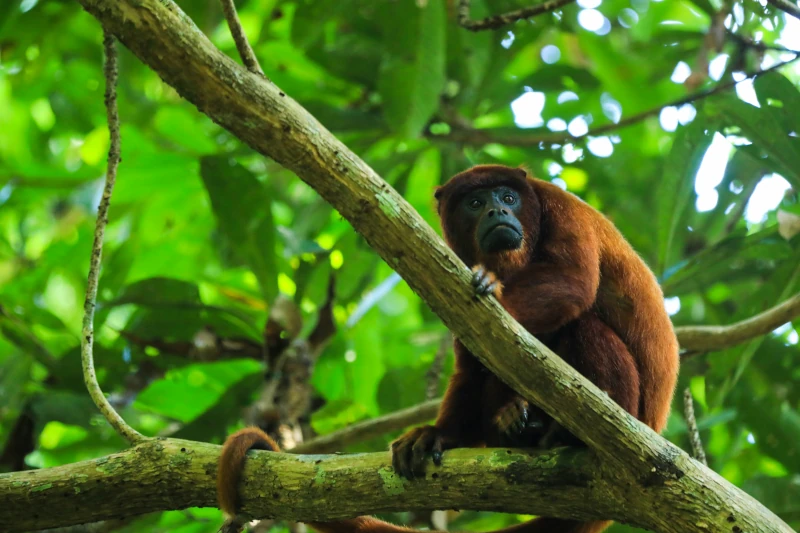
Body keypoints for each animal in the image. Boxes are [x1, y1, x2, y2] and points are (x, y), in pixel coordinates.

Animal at [217, 165, 680, 533]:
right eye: (475, 203)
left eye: (508, 197)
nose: (498, 212)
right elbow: (471, 367)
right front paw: (439, 434)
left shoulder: (562, 208)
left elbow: (572, 280)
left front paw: (494, 289)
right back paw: (516, 424)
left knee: (583, 325)